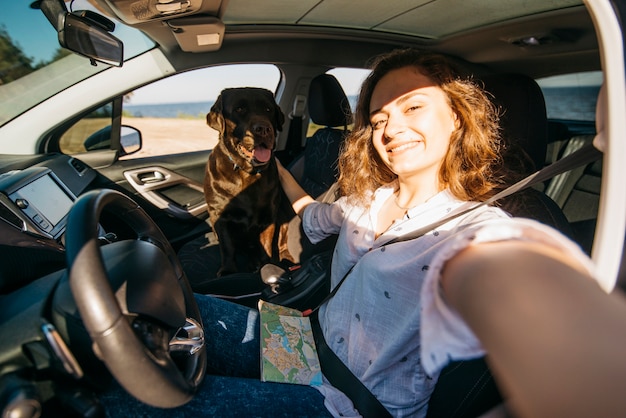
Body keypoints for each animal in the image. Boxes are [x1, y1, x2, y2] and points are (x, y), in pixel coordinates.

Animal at [205, 87, 292, 278]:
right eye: (239, 109)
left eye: (268, 109)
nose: (263, 129)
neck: (247, 172)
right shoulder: (219, 215)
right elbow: (227, 247)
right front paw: (228, 270)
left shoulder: (269, 216)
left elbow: (266, 244)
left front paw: (266, 265)